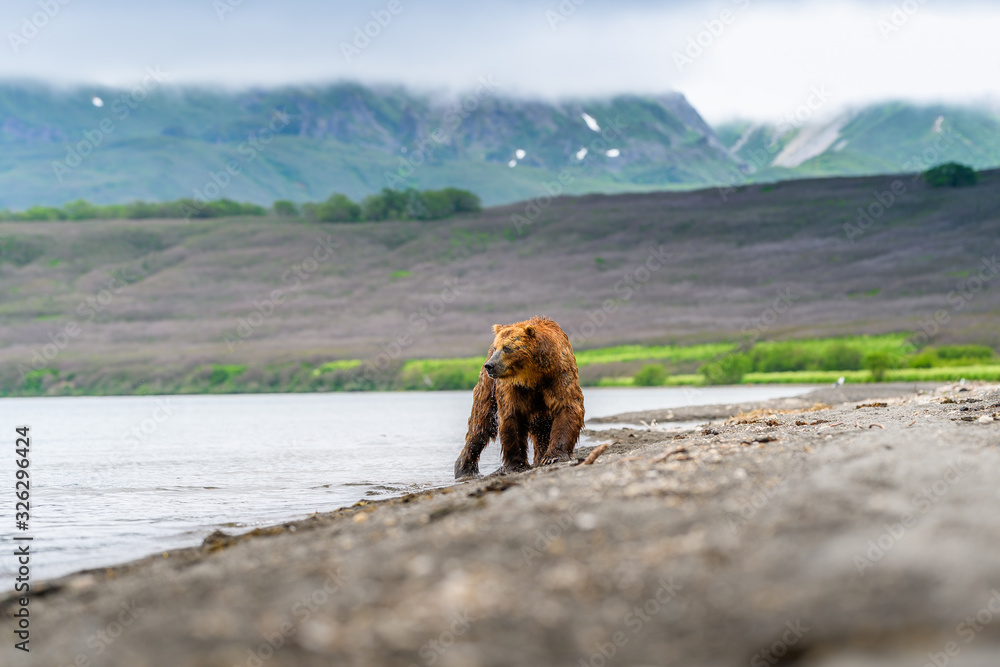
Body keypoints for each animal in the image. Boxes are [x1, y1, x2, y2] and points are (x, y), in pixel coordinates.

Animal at [454, 316, 585, 478]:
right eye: (496, 347)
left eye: (506, 347)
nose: (489, 365)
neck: (533, 376)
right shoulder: (513, 387)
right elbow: (512, 417)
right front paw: (517, 464)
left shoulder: (558, 374)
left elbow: (567, 406)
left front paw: (552, 457)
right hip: (488, 388)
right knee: (480, 424)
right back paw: (463, 468)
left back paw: (540, 457)